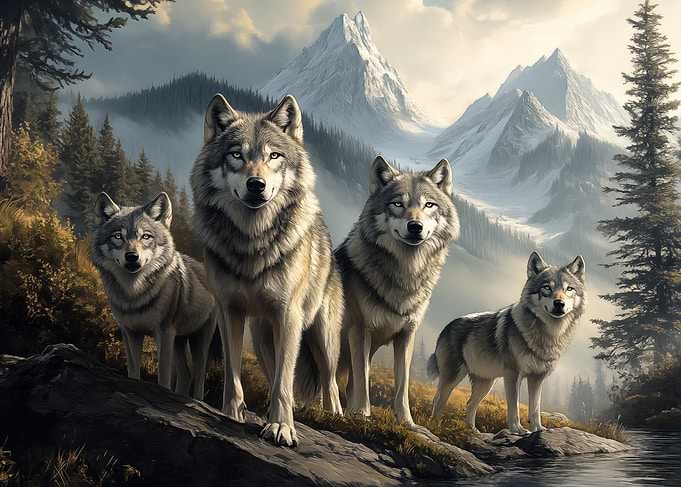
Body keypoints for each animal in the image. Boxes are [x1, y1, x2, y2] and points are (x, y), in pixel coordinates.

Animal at [91, 192, 216, 399]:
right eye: (118, 236)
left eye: (146, 236)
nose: (131, 256)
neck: (134, 294)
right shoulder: (130, 333)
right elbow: (133, 371)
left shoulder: (163, 333)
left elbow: (163, 377)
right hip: (178, 341)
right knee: (186, 375)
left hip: (199, 341)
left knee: (198, 379)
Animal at [190, 93, 344, 447]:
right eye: (237, 154)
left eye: (274, 155)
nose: (256, 184)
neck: (252, 242)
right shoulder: (228, 311)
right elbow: (233, 373)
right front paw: (232, 414)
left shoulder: (288, 314)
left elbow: (284, 383)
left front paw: (282, 427)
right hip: (262, 339)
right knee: (275, 371)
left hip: (321, 337)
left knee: (330, 383)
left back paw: (334, 417)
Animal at [336, 156, 460, 429]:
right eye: (397, 204)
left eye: (428, 205)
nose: (415, 226)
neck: (404, 275)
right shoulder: (360, 331)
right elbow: (363, 379)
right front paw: (362, 414)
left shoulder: (406, 335)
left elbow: (402, 384)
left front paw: (407, 422)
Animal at [428, 251, 587, 434]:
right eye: (547, 287)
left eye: (569, 289)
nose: (559, 304)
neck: (548, 335)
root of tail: (447, 326)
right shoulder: (513, 375)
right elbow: (514, 407)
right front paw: (517, 430)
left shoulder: (537, 378)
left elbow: (535, 408)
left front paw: (538, 429)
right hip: (453, 377)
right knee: (438, 401)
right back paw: (435, 426)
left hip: (485, 383)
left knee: (469, 404)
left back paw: (472, 431)